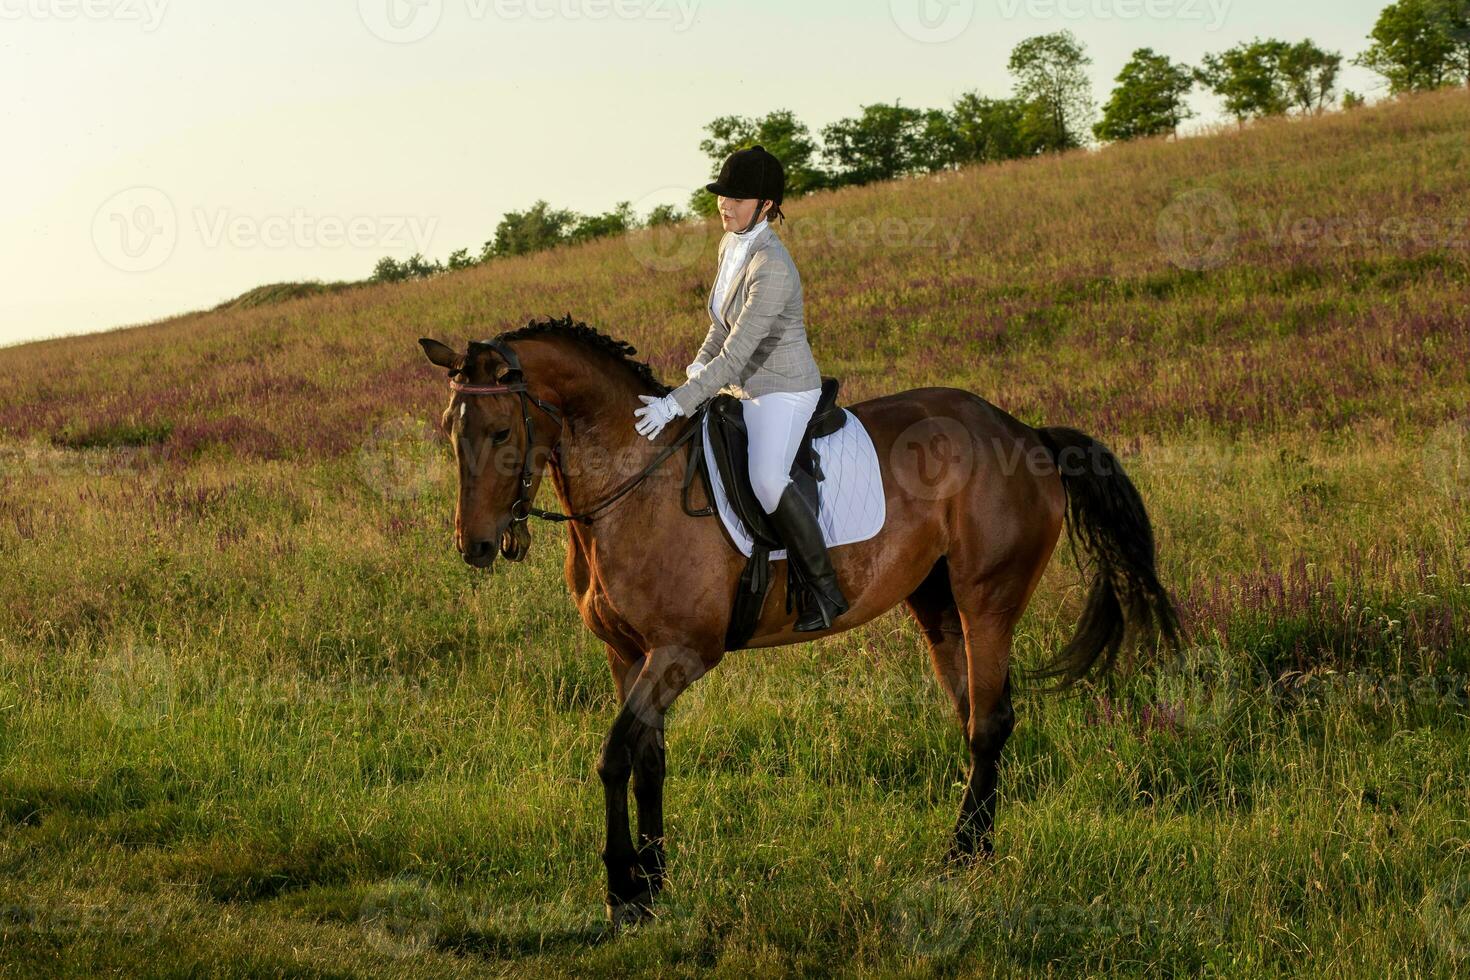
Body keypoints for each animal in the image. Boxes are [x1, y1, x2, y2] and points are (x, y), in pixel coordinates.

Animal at [417, 314, 1181, 928]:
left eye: (499, 430)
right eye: (451, 435)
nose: (474, 546)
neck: (634, 485)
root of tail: (1024, 431)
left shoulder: (682, 651)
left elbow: (613, 758)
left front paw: (623, 892)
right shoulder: (628, 655)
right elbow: (647, 761)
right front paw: (654, 885)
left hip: (986, 599)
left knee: (989, 722)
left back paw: (962, 858)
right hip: (935, 605)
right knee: (973, 717)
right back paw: (973, 849)